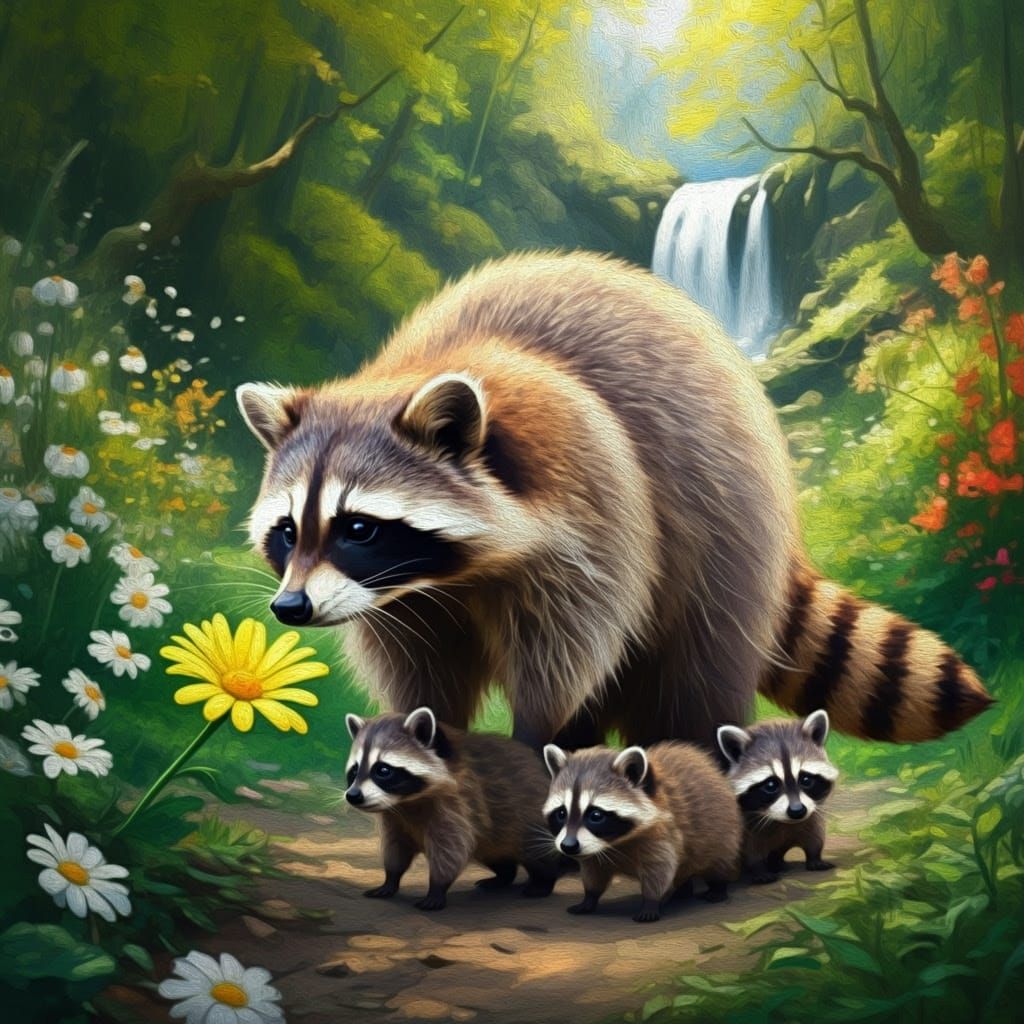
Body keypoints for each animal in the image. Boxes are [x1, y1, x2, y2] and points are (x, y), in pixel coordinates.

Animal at [238, 251, 992, 751]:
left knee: (692, 677)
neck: (451, 576)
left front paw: (536, 732)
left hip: (724, 528)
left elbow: (571, 649)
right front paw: (422, 732)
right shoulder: (404, 601)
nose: (290, 608)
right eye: (287, 530)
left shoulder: (597, 507)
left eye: (358, 527)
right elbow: (419, 665)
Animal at [344, 707, 559, 911]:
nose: (353, 795)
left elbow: (450, 850)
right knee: (496, 855)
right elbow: (396, 848)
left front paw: (436, 888)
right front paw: (390, 879)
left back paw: (543, 882)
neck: (407, 802)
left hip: (528, 820)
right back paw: (504, 876)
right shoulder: (395, 819)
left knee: (540, 853)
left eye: (383, 770)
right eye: (354, 770)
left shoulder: (460, 803)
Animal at [542, 741, 742, 923]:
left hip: (722, 831)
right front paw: (589, 898)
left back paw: (717, 887)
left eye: (596, 815)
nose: (568, 846)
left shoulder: (664, 833)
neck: (615, 842)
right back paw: (683, 890)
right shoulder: (592, 850)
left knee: (717, 863)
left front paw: (651, 903)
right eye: (561, 813)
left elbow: (660, 871)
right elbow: (594, 872)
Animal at [717, 709, 837, 883]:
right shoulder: (746, 825)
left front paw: (815, 856)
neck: (784, 822)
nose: (797, 811)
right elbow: (751, 851)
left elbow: (814, 835)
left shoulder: (811, 816)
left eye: (806, 780)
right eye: (771, 785)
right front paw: (758, 869)